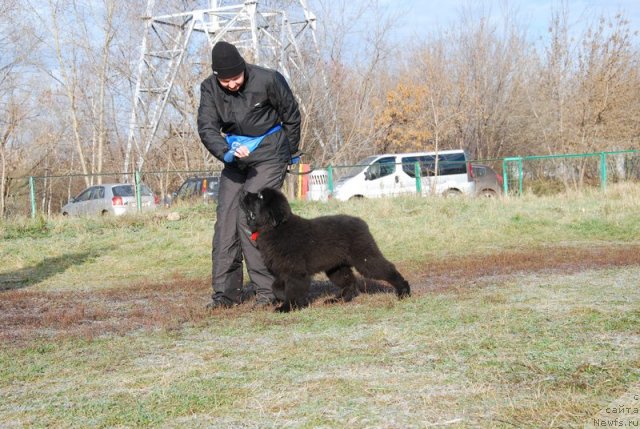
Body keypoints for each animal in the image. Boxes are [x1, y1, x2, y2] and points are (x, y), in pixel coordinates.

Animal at [239, 187, 410, 310]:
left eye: (260, 197)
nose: (244, 191)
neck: (276, 228)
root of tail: (361, 222)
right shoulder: (282, 270)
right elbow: (276, 287)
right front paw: (286, 299)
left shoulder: (295, 271)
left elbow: (293, 289)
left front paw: (288, 307)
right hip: (336, 267)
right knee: (350, 282)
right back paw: (337, 300)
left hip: (364, 257)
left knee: (387, 269)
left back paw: (403, 291)